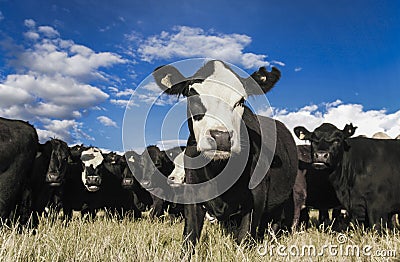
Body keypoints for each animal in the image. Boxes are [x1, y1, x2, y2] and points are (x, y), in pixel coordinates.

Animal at [152, 59, 298, 252]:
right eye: (192, 95)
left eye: (241, 101)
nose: (221, 137)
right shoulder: (192, 194)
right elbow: (190, 237)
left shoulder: (256, 199)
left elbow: (243, 240)